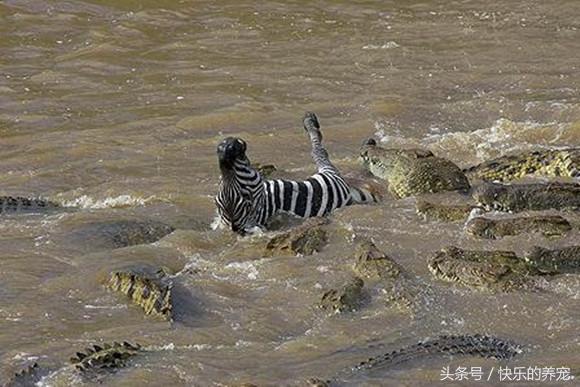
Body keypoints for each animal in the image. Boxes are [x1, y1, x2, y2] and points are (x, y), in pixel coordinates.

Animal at [215, 110, 378, 235]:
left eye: (218, 200)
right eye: (245, 193)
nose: (224, 148)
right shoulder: (331, 176)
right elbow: (318, 150)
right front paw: (310, 122)